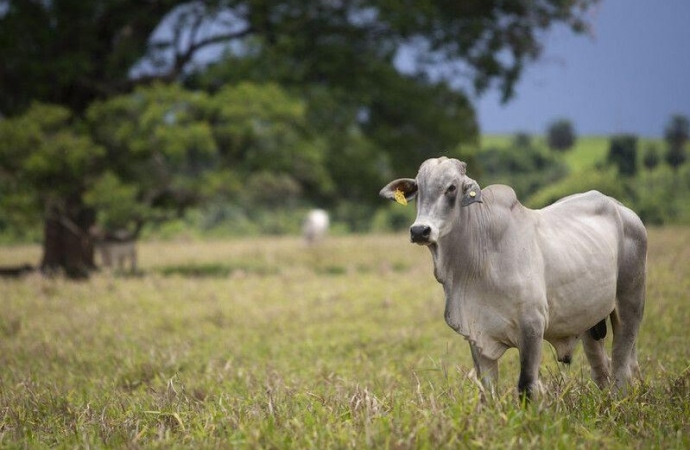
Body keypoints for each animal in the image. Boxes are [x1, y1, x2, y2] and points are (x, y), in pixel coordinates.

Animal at [382, 158, 644, 400]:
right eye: (418, 189)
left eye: (452, 187)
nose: (419, 231)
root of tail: (620, 207)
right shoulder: (477, 334)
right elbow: (487, 390)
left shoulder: (532, 327)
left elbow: (526, 386)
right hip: (590, 321)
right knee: (602, 369)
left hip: (630, 305)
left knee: (621, 364)